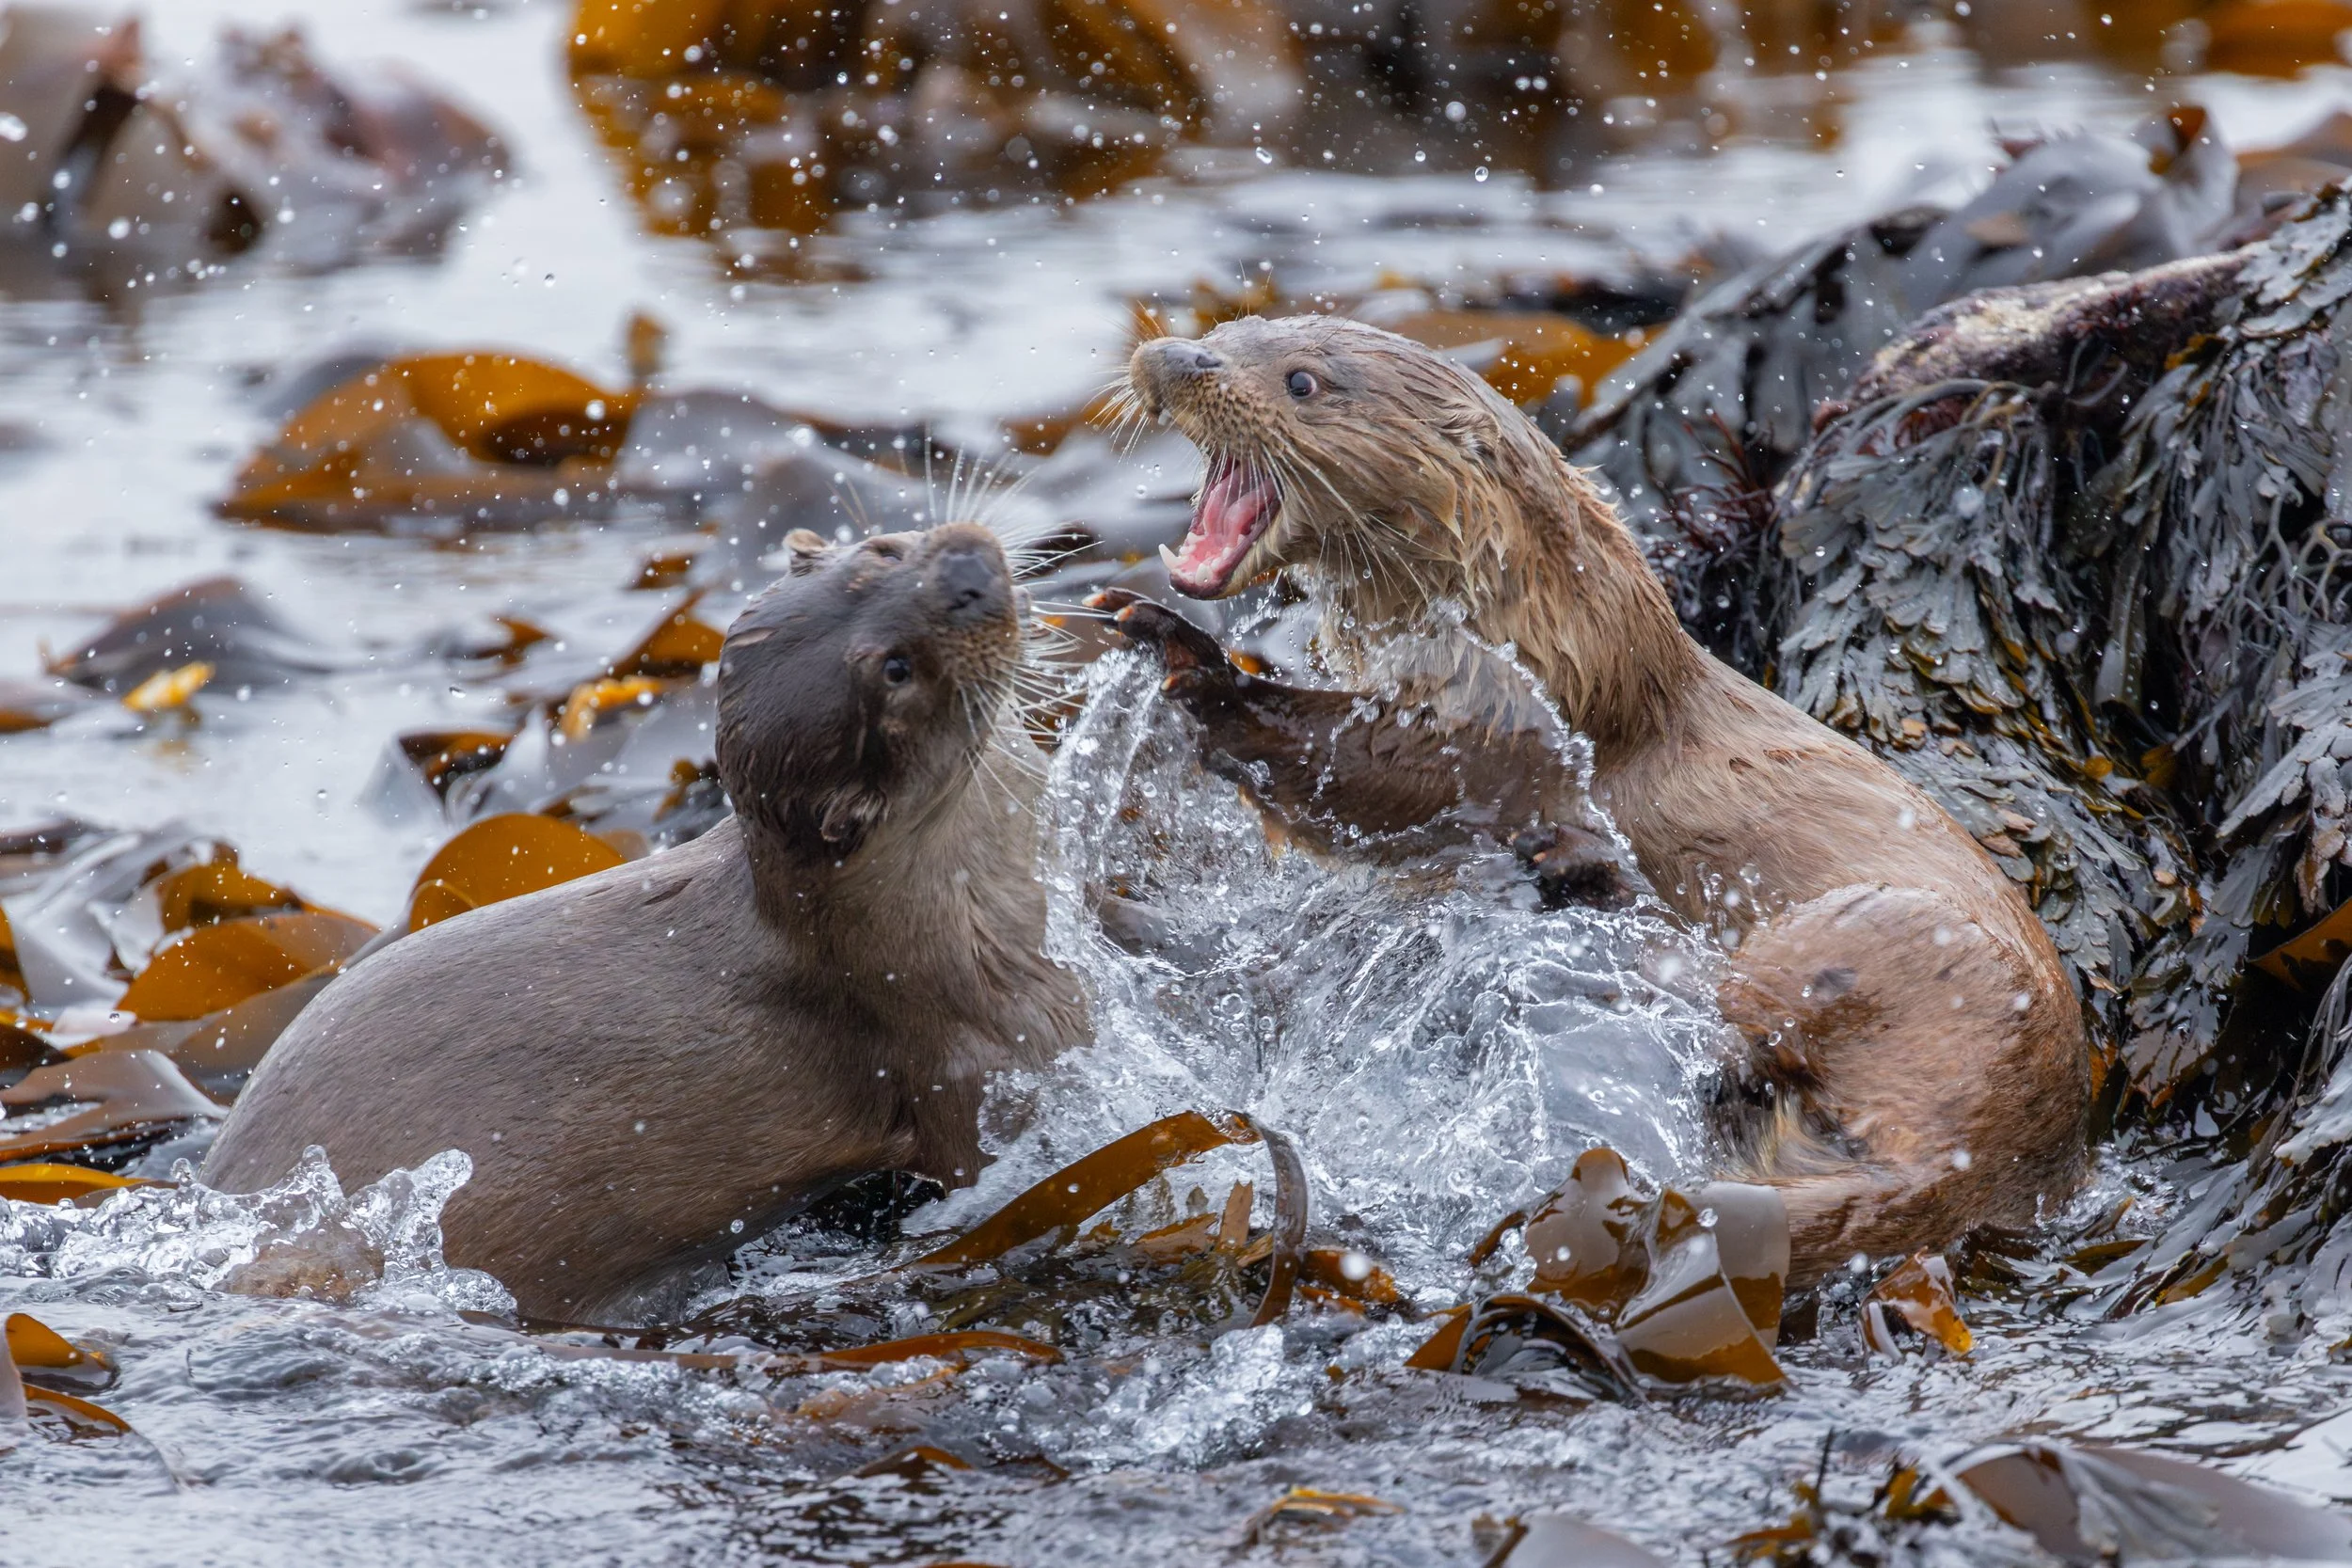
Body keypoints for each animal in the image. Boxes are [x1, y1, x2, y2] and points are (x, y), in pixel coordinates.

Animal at [1113, 314, 2089, 1286]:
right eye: (1234, 330)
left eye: (1302, 381)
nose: (1176, 357)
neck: (1553, 637)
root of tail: (1991, 1157)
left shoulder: (1498, 729)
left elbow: (1373, 775)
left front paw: (1194, 662)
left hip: (1881, 938)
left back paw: (1583, 875)